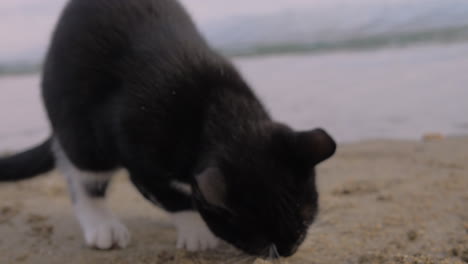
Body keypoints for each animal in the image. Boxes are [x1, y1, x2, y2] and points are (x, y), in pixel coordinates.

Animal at [0, 0, 336, 258]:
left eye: (305, 215)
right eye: (257, 234)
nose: (291, 248)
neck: (218, 112)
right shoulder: (142, 163)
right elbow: (175, 198)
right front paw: (196, 231)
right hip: (81, 131)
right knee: (81, 176)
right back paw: (102, 226)